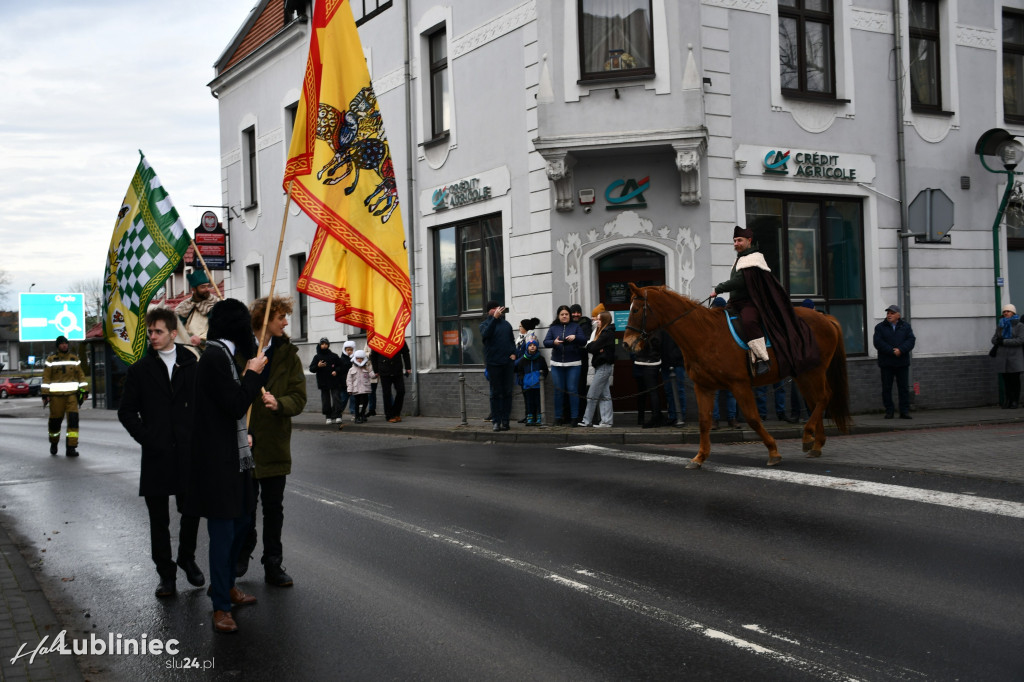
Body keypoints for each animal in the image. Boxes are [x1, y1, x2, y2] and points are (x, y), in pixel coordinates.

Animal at [618, 282, 851, 466]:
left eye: (636, 310)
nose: (626, 343)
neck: (705, 334)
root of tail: (825, 317)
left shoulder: (739, 384)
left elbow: (753, 418)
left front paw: (773, 451)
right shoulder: (704, 386)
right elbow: (704, 421)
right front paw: (700, 457)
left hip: (814, 371)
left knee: (824, 397)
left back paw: (807, 436)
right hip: (802, 374)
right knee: (816, 401)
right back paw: (816, 443)